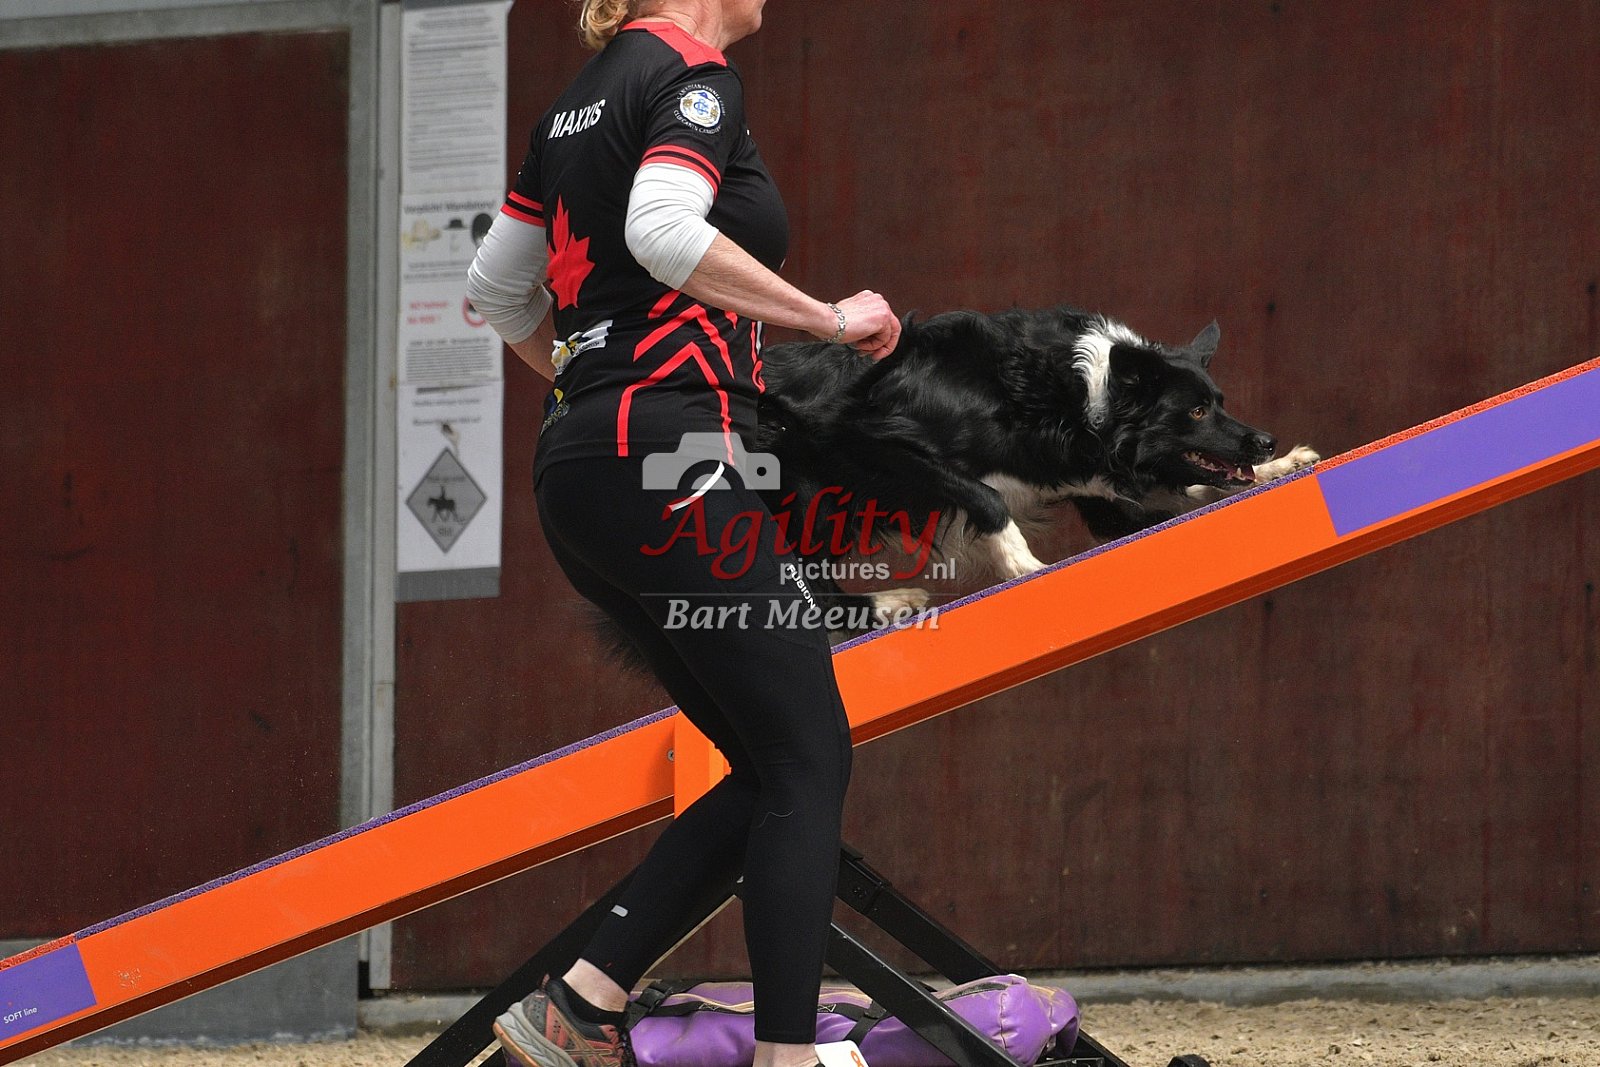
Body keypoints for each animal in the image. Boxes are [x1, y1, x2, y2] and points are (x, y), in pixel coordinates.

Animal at [751, 306, 1319, 629]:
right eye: (1196, 412)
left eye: (1219, 403)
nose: (1265, 441)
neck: (1075, 397)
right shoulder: (863, 435)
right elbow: (987, 496)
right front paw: (1025, 567)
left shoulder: (1091, 487)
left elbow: (1185, 495)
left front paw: (1283, 466)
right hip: (807, 500)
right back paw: (892, 601)